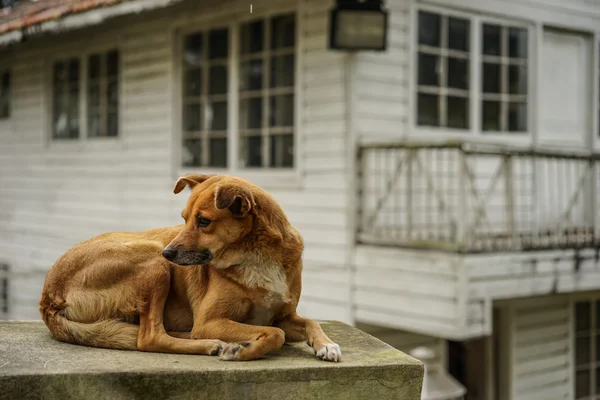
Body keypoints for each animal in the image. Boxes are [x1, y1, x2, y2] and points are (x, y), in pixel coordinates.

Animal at [39, 173, 342, 360]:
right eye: (184, 219)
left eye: (203, 221)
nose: (168, 252)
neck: (256, 256)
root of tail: (48, 296)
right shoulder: (210, 320)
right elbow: (276, 334)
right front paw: (243, 350)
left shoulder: (282, 315)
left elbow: (308, 322)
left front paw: (326, 344)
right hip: (152, 261)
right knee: (148, 338)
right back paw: (211, 344)